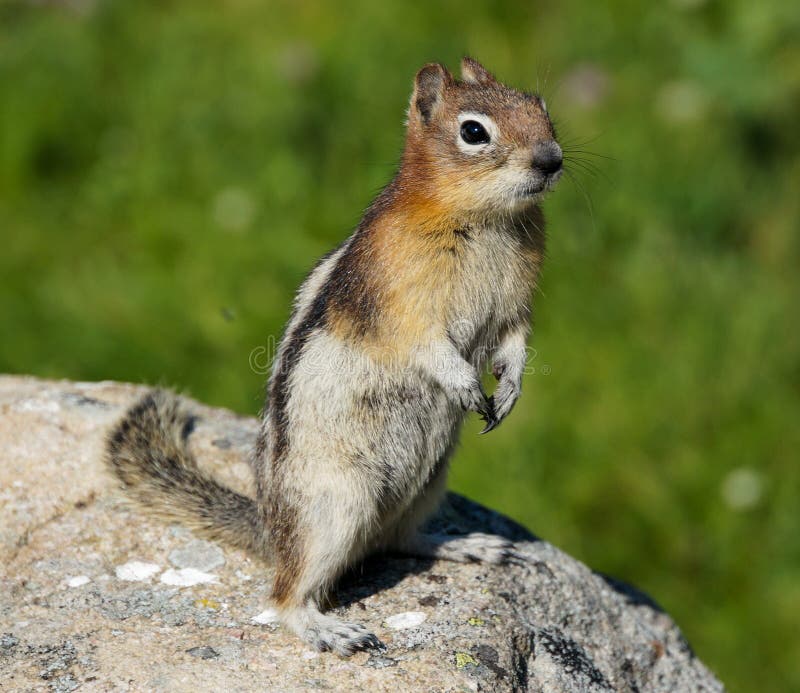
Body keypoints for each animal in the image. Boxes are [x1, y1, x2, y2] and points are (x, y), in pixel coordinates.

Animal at [108, 58, 564, 656]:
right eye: (473, 131)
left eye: (540, 106)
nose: (552, 159)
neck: (489, 219)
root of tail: (269, 529)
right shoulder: (399, 301)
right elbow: (428, 346)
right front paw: (465, 384)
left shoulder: (517, 306)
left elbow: (515, 343)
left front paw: (509, 389)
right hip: (336, 505)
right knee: (285, 593)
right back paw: (330, 628)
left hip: (428, 484)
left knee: (400, 539)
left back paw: (471, 545)